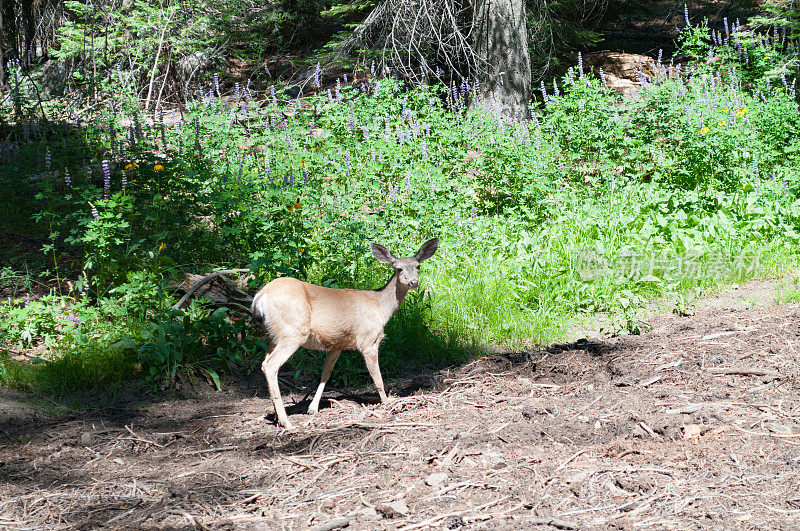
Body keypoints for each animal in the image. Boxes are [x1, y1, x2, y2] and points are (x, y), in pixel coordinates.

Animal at [252, 237, 438, 428]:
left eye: (418, 266)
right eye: (399, 268)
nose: (414, 282)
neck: (380, 307)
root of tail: (261, 296)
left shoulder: (337, 344)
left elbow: (326, 374)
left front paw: (312, 408)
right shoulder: (368, 340)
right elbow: (377, 376)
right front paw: (387, 403)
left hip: (272, 336)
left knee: (265, 362)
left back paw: (276, 417)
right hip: (292, 332)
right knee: (271, 365)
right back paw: (286, 421)